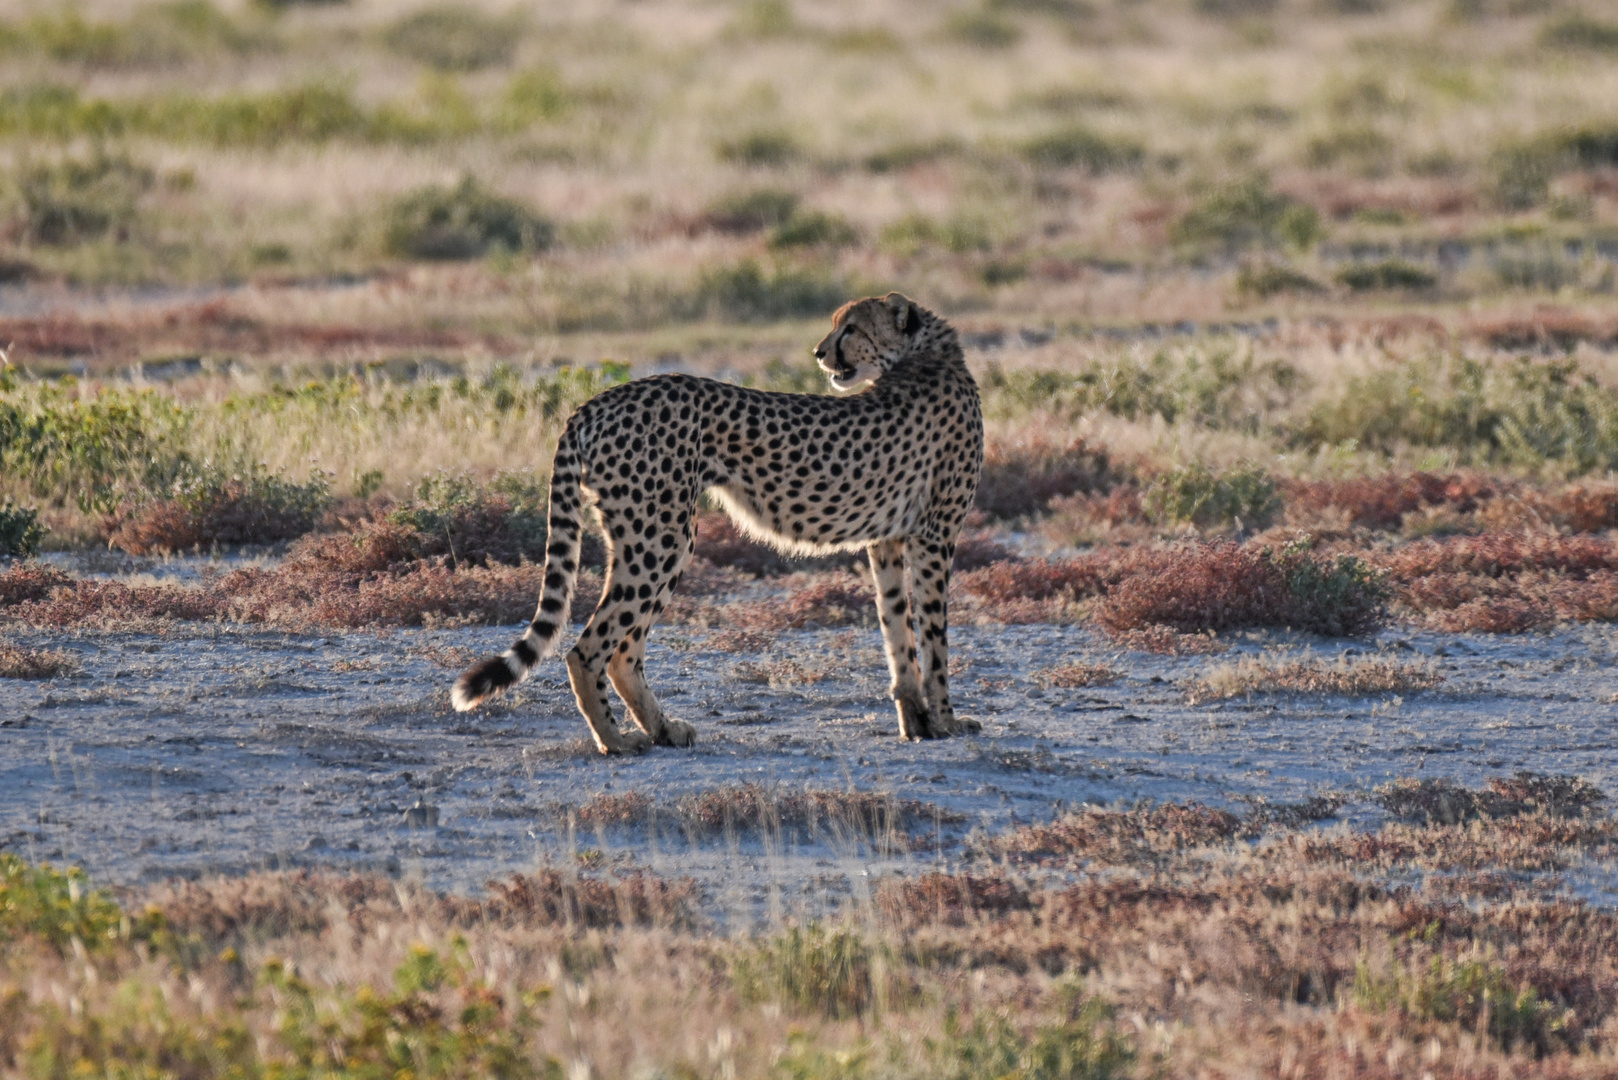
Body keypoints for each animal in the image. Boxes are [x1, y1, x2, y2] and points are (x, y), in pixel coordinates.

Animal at [453, 291, 983, 757]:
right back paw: (615, 741)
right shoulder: (936, 534)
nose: (819, 353)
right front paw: (946, 721)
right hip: (663, 537)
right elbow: (934, 636)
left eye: (850, 328)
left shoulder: (888, 539)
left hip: (645, 536)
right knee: (588, 649)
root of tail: (598, 399)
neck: (922, 354)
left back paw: (663, 730)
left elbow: (898, 629)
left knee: (624, 651)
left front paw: (916, 721)